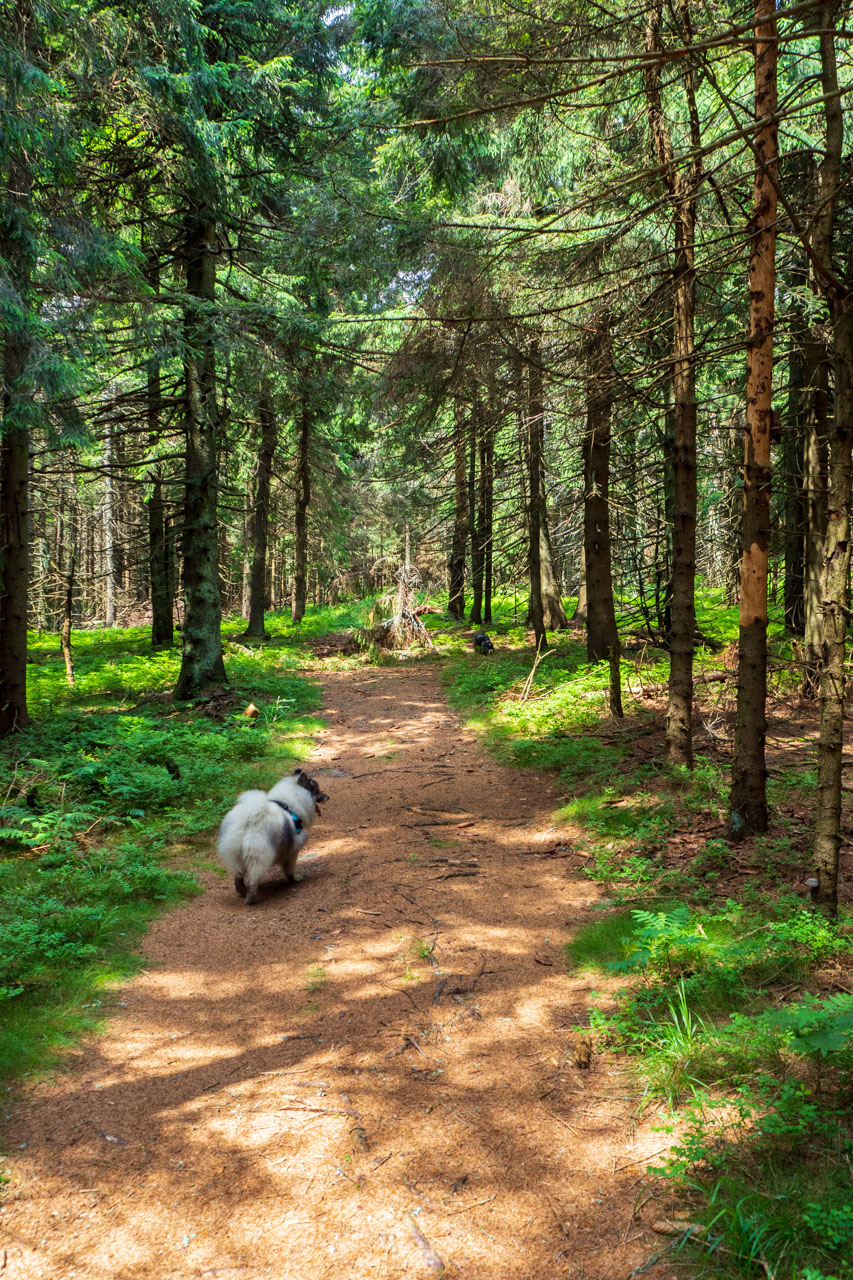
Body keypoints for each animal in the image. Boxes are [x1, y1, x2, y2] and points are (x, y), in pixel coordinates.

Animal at [216, 762, 327, 906]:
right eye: (316, 790)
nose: (328, 797)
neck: (291, 805)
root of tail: (249, 818)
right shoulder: (293, 850)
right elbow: (290, 868)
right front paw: (294, 879)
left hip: (235, 853)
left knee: (238, 875)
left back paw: (242, 891)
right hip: (260, 855)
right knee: (252, 880)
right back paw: (250, 899)